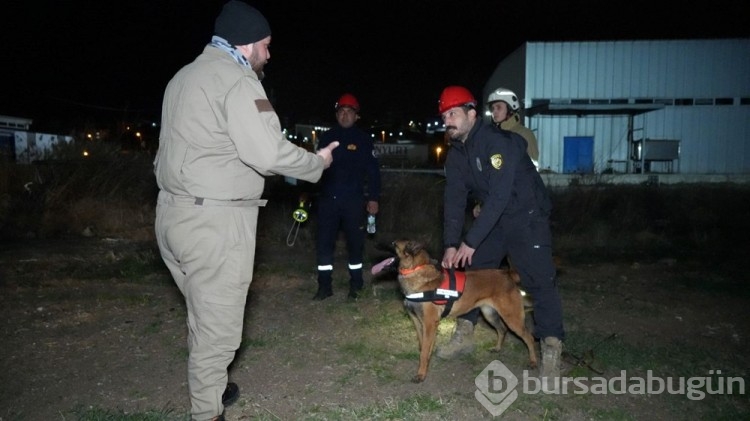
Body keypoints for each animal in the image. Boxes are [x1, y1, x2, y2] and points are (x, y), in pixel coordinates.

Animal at [378, 240, 536, 380]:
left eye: (393, 244)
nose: (376, 244)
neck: (416, 270)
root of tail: (507, 274)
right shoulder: (417, 322)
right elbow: (423, 346)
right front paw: (426, 362)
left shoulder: (429, 324)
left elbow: (424, 351)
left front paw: (421, 374)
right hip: (489, 314)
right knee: (502, 330)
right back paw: (497, 348)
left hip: (512, 318)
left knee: (529, 337)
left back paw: (533, 361)